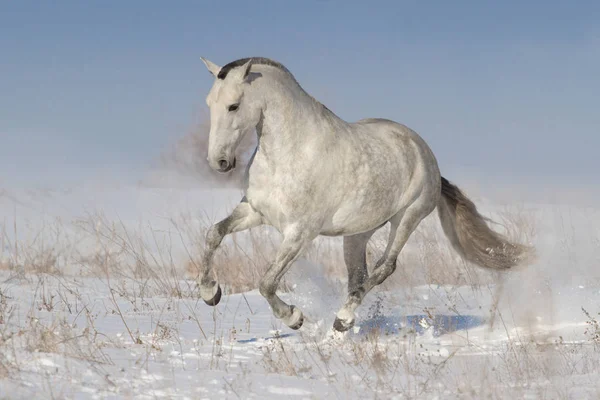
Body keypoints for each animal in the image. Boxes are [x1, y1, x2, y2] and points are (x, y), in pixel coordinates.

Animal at [196, 56, 528, 332]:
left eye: (234, 105)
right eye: (210, 103)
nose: (219, 162)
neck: (291, 153)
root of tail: (425, 153)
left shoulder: (300, 233)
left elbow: (266, 283)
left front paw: (294, 318)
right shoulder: (255, 211)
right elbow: (214, 234)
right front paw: (210, 292)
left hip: (407, 218)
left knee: (384, 268)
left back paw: (342, 320)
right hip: (357, 233)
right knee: (358, 276)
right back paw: (344, 324)